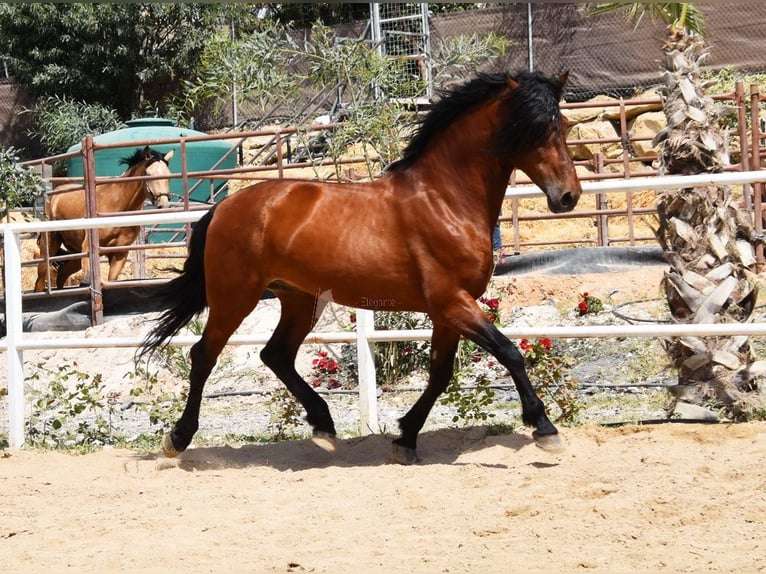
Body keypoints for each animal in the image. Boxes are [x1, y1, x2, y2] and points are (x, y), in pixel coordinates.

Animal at [34, 147, 174, 292]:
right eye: (149, 175)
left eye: (169, 176)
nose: (163, 205)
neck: (118, 206)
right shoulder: (88, 249)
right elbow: (86, 282)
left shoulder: (119, 254)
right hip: (49, 245)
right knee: (40, 280)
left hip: (75, 254)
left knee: (62, 273)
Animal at [140, 71, 584, 468]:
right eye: (533, 129)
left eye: (561, 125)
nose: (568, 197)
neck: (445, 201)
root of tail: (223, 208)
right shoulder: (452, 302)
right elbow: (509, 353)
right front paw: (545, 429)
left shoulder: (448, 312)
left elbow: (440, 374)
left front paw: (405, 439)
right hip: (235, 296)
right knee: (204, 355)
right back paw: (177, 439)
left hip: (300, 299)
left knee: (276, 354)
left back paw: (323, 426)